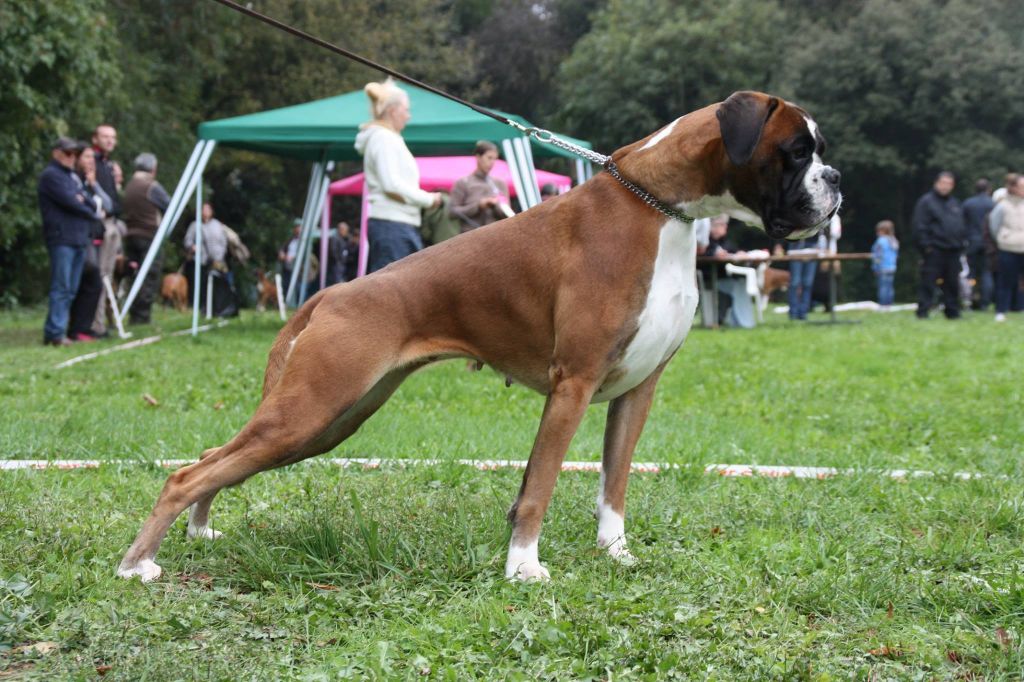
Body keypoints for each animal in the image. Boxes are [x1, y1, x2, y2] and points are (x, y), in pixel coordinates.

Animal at [117, 90, 839, 577]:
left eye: (817, 153)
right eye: (795, 152)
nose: (835, 180)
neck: (659, 207)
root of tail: (330, 293)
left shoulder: (637, 391)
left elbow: (614, 484)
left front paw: (616, 554)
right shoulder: (573, 385)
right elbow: (539, 486)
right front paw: (523, 569)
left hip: (325, 422)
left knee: (215, 460)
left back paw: (200, 531)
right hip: (311, 411)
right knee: (186, 474)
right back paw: (137, 565)